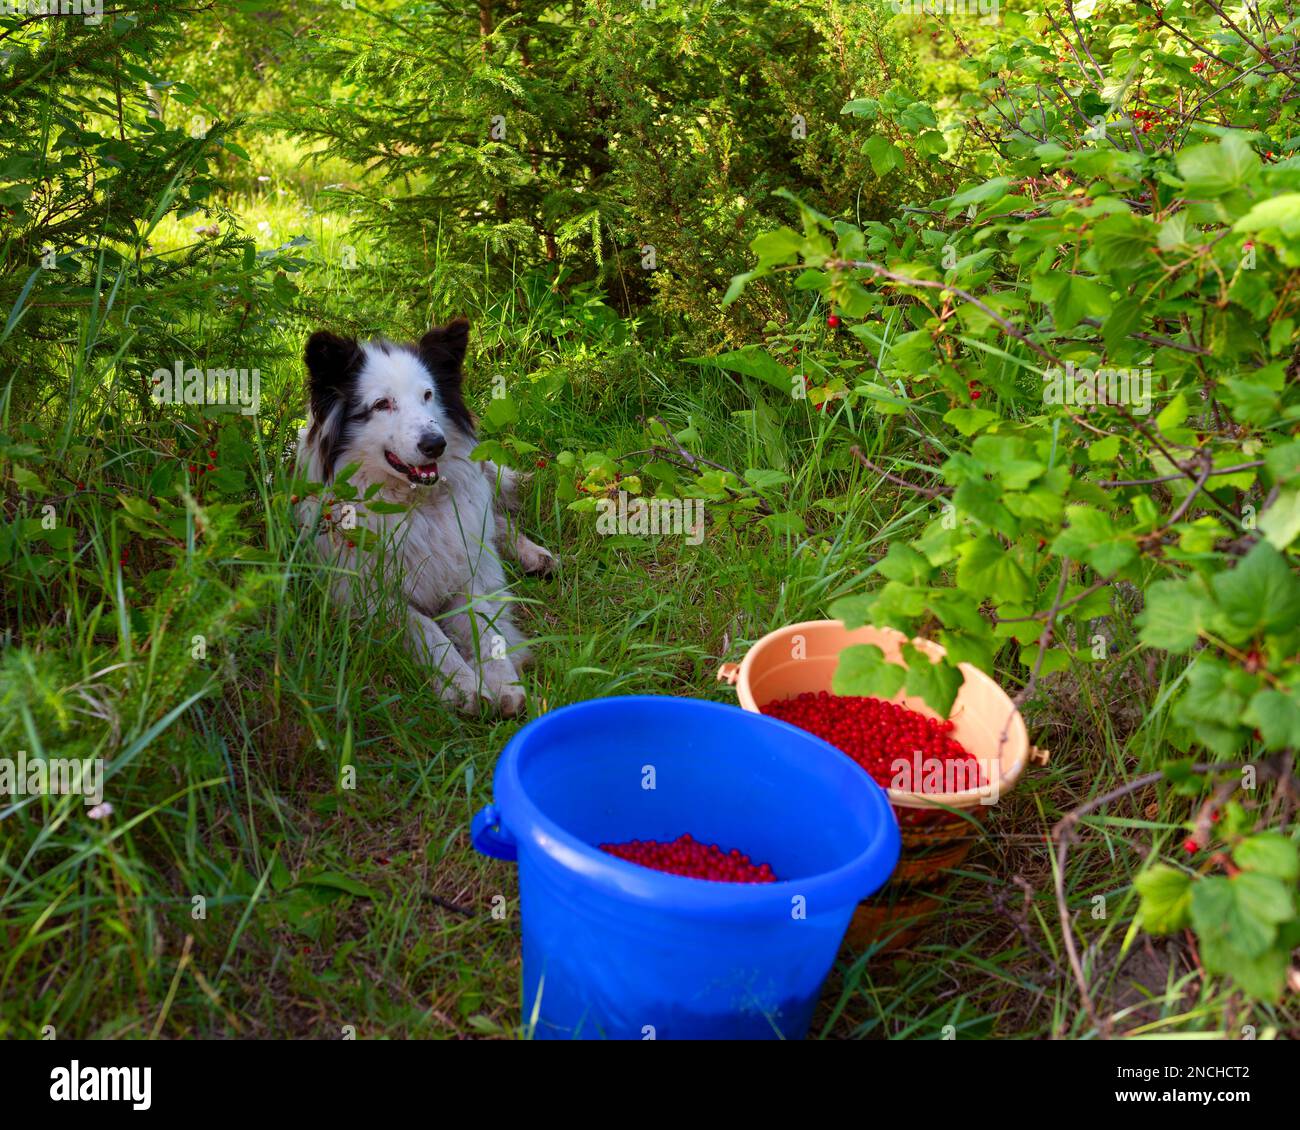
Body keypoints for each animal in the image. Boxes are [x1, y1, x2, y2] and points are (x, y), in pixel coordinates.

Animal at [295, 317, 553, 717]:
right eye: (382, 404)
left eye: (429, 396)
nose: (436, 444)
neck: (414, 506)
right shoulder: (366, 594)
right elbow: (425, 629)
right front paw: (463, 683)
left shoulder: (467, 573)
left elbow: (485, 623)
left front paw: (502, 680)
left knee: (498, 524)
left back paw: (533, 554)